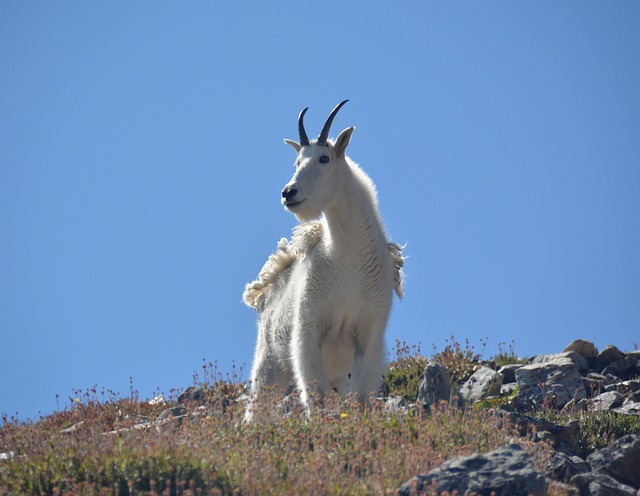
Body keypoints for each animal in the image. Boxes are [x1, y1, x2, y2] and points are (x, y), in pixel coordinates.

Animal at [242, 101, 402, 422]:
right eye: (296, 163)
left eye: (324, 158)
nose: (288, 193)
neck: (348, 258)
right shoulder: (308, 330)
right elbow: (315, 394)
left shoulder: (369, 333)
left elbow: (362, 395)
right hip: (270, 362)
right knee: (257, 406)